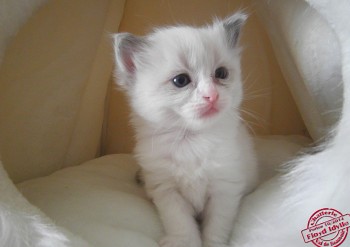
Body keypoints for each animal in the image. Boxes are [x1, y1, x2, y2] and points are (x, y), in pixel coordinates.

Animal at [113, 13, 258, 247]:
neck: (191, 141)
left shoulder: (225, 189)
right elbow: (180, 222)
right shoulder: (166, 189)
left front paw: (213, 244)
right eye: (180, 80)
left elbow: (215, 228)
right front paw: (184, 241)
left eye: (221, 73)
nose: (212, 96)